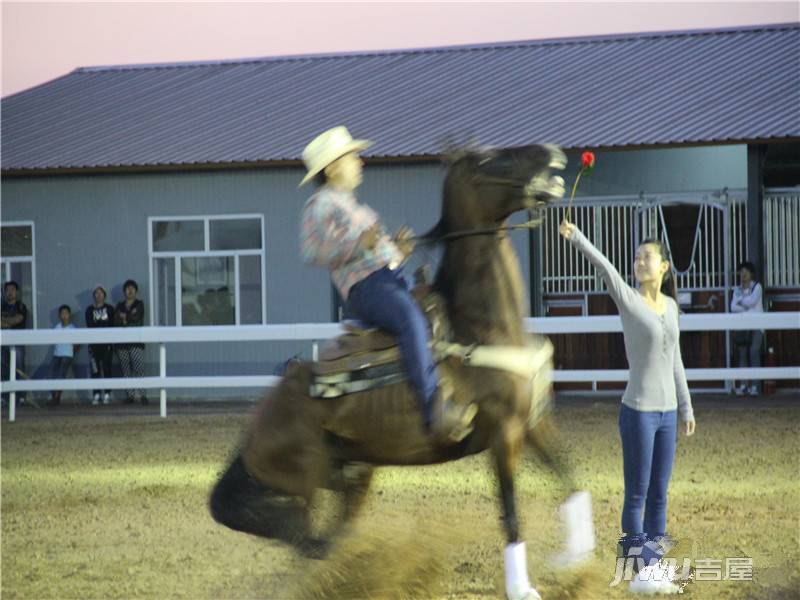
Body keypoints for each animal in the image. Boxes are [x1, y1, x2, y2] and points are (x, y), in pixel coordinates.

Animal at [209, 143, 596, 596]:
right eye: (490, 160)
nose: (551, 153)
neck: (483, 326)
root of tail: (255, 428)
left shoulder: (533, 423)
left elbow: (571, 480)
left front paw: (578, 562)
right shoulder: (504, 434)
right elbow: (511, 511)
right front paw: (522, 588)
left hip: (354, 474)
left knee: (326, 539)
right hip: (303, 484)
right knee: (307, 539)